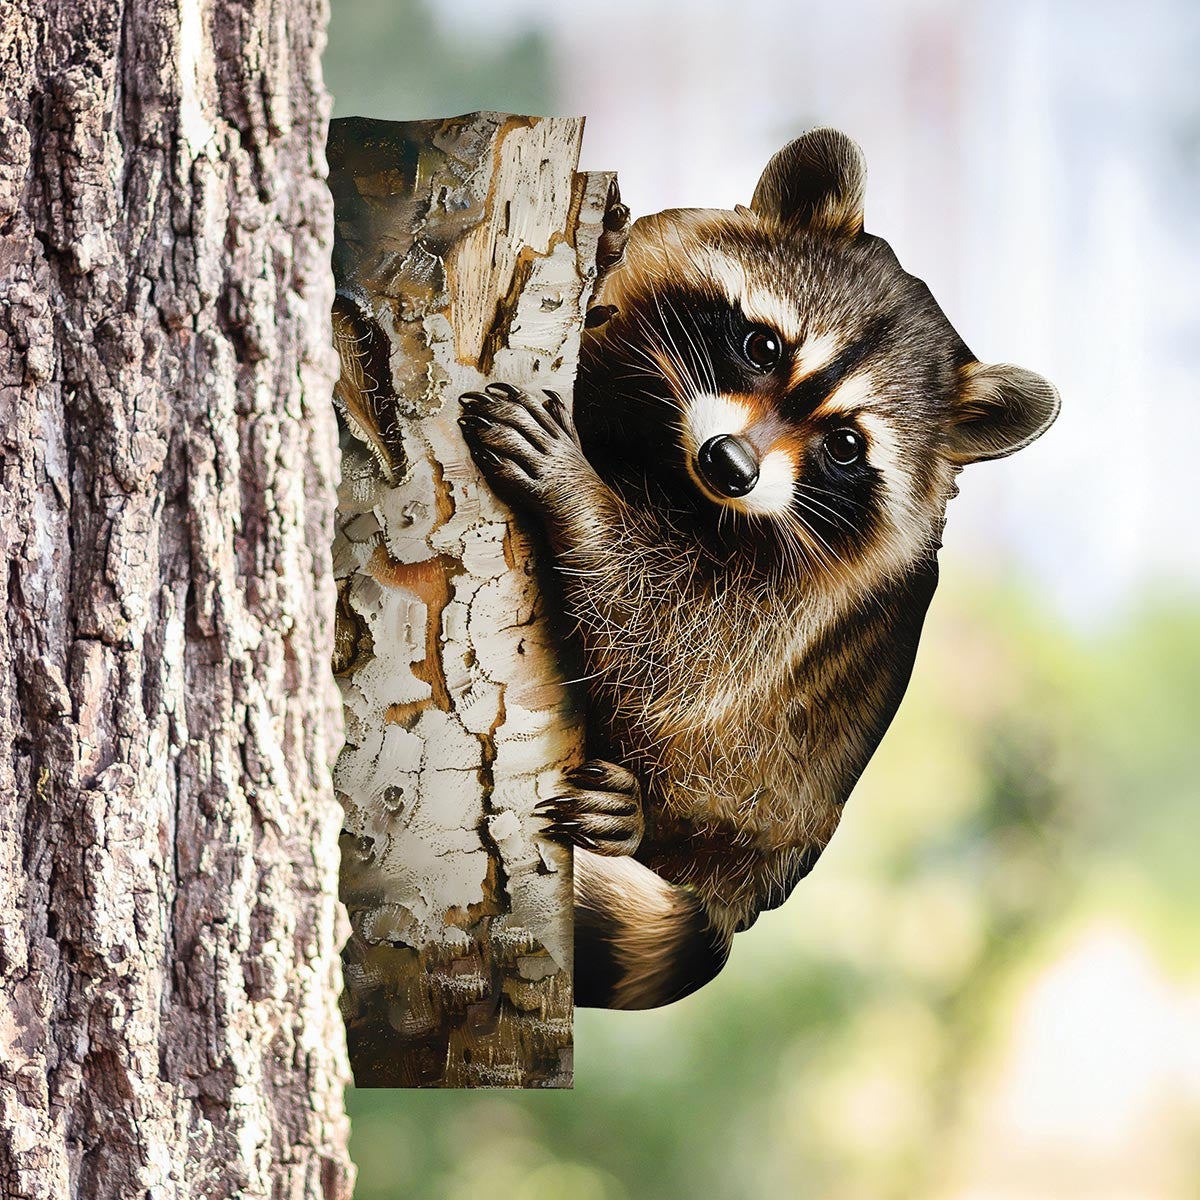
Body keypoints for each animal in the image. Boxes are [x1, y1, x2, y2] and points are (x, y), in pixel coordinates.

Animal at [458, 129, 1059, 1009]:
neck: (668, 461)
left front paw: (580, 497)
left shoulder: (806, 594)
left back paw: (640, 819)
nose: (732, 464)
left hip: (769, 807)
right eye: (762, 346)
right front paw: (603, 246)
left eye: (845, 444)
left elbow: (675, 649)